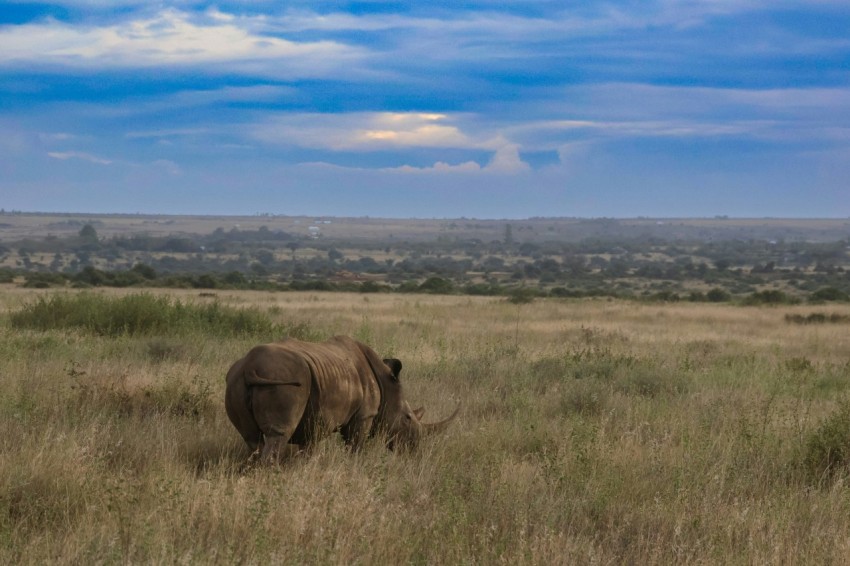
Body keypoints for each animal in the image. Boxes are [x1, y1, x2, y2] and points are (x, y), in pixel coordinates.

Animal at [222, 338, 454, 466]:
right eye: (407, 418)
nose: (414, 448)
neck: (385, 381)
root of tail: (250, 366)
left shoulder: (314, 420)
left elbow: (309, 447)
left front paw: (303, 468)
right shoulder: (364, 415)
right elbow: (355, 446)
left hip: (235, 380)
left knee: (252, 439)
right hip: (284, 381)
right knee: (278, 435)